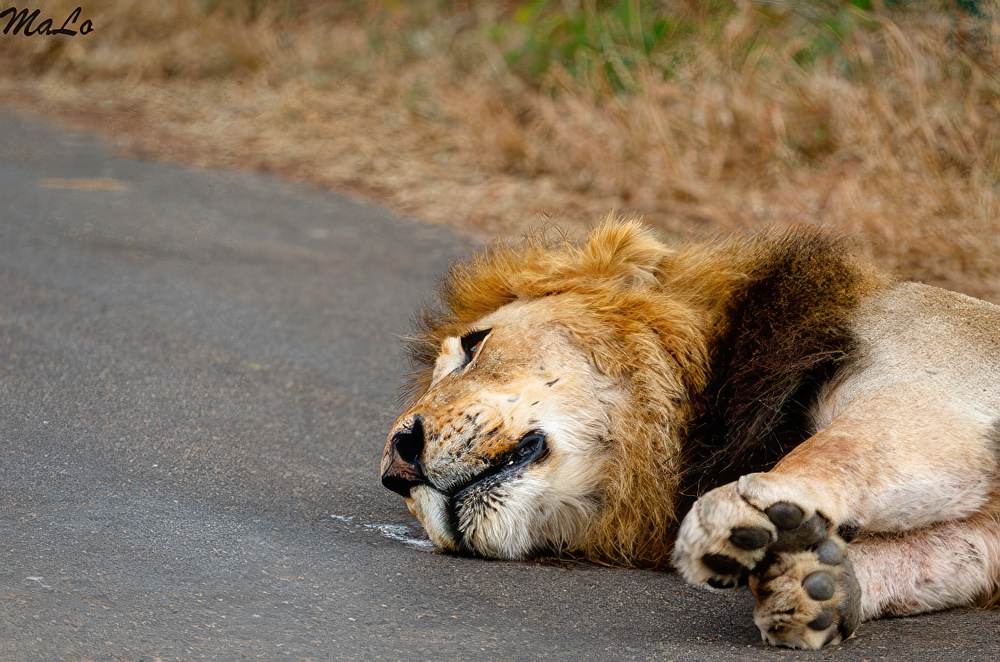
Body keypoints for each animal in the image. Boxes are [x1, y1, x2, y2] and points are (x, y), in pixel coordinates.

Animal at [380, 219, 1000, 649]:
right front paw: (818, 584)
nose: (397, 467)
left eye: (474, 346)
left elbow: (840, 448)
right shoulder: (981, 535)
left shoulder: (933, 387)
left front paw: (741, 516)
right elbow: (936, 557)